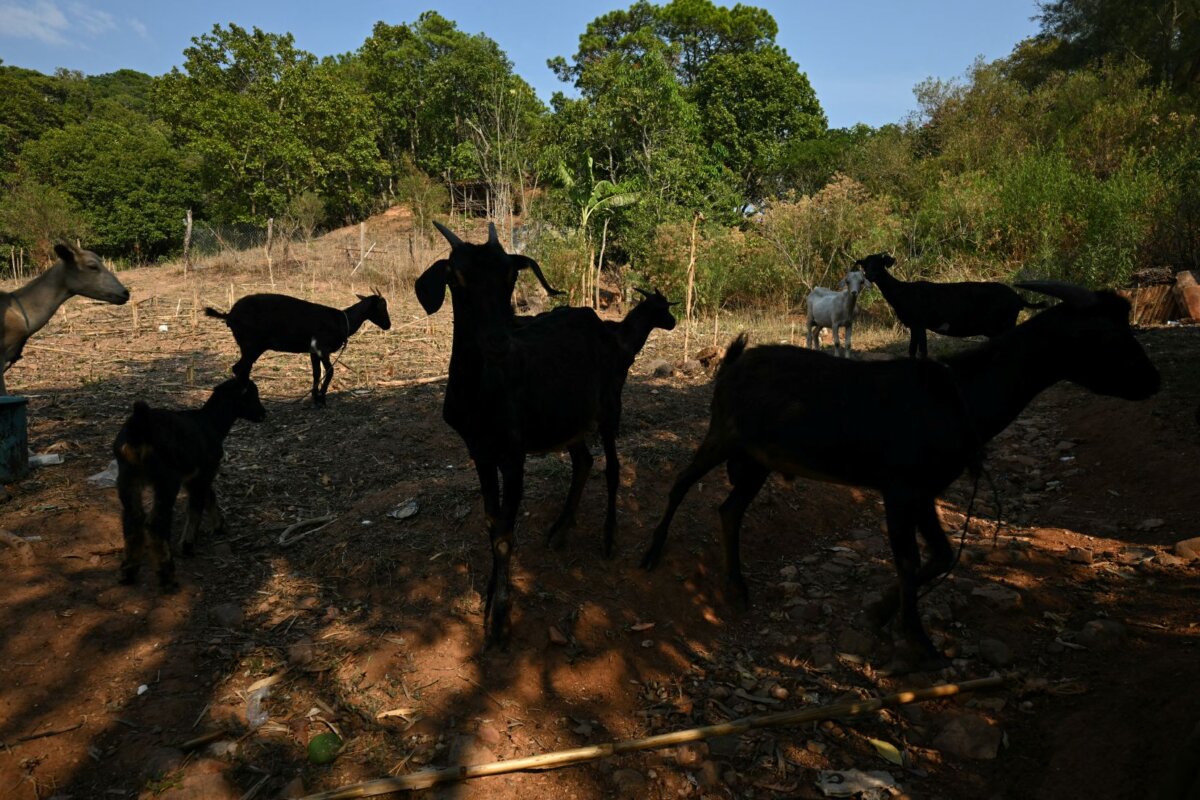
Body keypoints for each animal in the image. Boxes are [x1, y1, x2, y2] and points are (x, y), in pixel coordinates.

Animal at [114, 377, 267, 591]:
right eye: (252, 394)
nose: (263, 413)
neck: (210, 423)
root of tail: (140, 426)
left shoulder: (196, 475)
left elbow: (209, 496)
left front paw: (219, 526)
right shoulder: (205, 470)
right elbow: (196, 505)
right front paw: (187, 545)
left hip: (128, 476)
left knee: (132, 518)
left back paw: (128, 571)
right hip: (166, 479)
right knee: (156, 523)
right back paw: (167, 576)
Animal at [204, 292, 391, 406]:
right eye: (381, 306)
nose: (388, 325)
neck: (342, 321)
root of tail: (229, 315)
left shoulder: (313, 352)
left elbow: (316, 373)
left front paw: (315, 398)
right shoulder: (322, 348)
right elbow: (330, 371)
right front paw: (322, 399)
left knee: (240, 368)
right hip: (252, 345)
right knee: (241, 368)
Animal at [417, 221, 643, 648]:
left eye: (511, 276)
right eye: (456, 277)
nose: (498, 342)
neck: (480, 394)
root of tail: (600, 324)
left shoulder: (513, 452)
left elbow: (505, 534)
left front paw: (501, 621)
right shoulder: (479, 451)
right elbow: (492, 524)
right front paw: (490, 598)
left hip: (610, 405)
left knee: (612, 467)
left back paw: (608, 538)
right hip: (568, 419)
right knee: (584, 461)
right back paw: (560, 529)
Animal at [640, 281, 1159, 671]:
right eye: (1108, 337)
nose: (1153, 381)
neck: (960, 396)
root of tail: (733, 359)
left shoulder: (925, 492)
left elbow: (941, 555)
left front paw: (880, 612)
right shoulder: (899, 489)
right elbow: (909, 560)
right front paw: (917, 639)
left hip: (757, 461)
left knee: (729, 510)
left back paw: (737, 585)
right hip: (723, 437)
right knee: (681, 483)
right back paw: (652, 552)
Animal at [859, 253, 1046, 358]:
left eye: (879, 264)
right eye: (865, 264)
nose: (869, 275)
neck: (902, 292)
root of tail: (1018, 298)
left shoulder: (919, 323)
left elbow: (922, 351)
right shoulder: (914, 326)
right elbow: (912, 351)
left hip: (1003, 325)